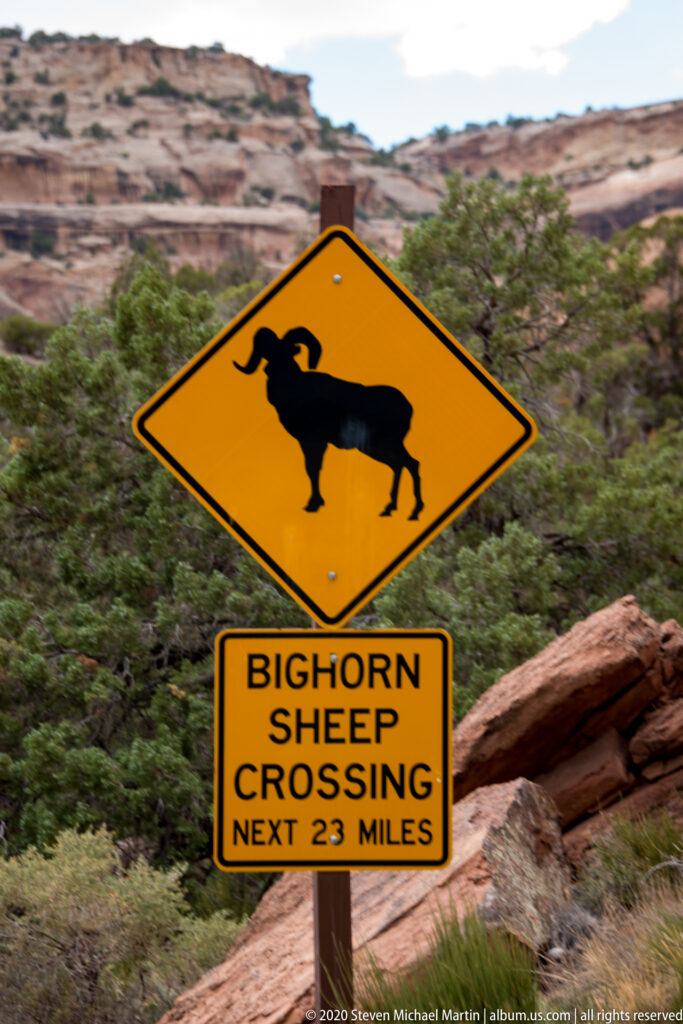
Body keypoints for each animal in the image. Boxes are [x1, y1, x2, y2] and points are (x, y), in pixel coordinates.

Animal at [234, 326, 424, 520]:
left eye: (287, 351)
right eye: (269, 352)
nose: (271, 369)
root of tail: (407, 406)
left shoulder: (314, 441)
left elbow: (312, 468)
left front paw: (313, 505)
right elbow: (312, 469)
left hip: (384, 445)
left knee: (408, 464)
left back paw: (412, 511)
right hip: (379, 448)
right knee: (402, 465)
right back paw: (391, 509)